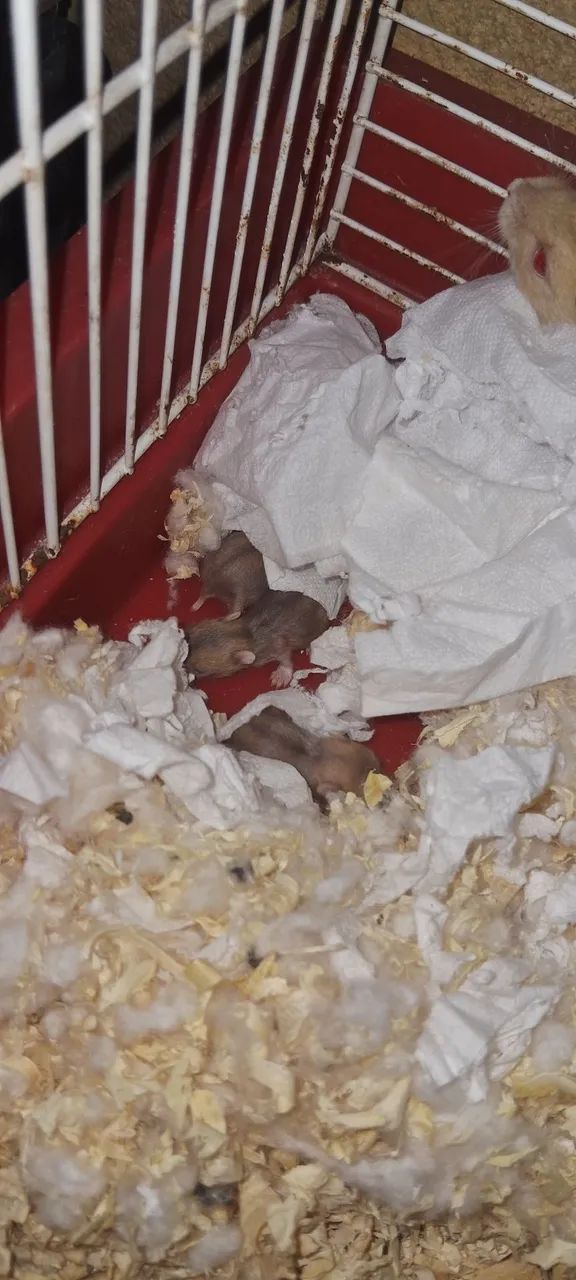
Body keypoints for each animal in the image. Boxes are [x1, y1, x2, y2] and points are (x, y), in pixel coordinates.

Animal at [185, 589, 329, 685]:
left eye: (200, 670)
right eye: (190, 636)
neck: (247, 634)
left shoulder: (275, 645)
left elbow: (285, 656)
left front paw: (282, 674)